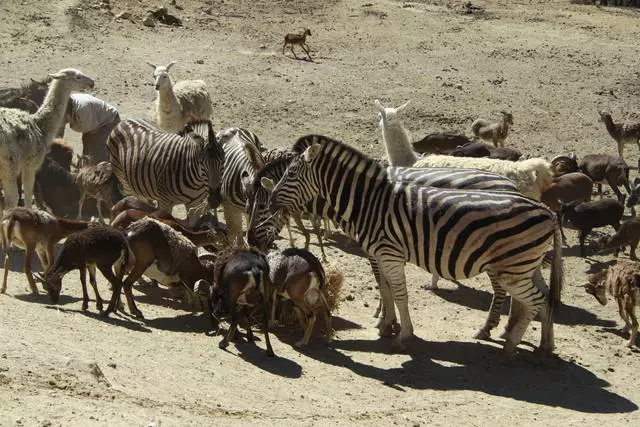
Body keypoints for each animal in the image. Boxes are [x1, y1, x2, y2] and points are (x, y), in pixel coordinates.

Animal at [264, 135, 560, 360]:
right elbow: (386, 290)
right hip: (524, 265)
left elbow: (400, 294)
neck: (369, 203)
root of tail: (547, 210)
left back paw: (509, 346)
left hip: (512, 268)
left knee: (536, 300)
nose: (270, 199)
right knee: (544, 297)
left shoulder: (389, 254)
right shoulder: (381, 255)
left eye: (291, 173)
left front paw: (404, 335)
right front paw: (386, 325)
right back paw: (543, 346)